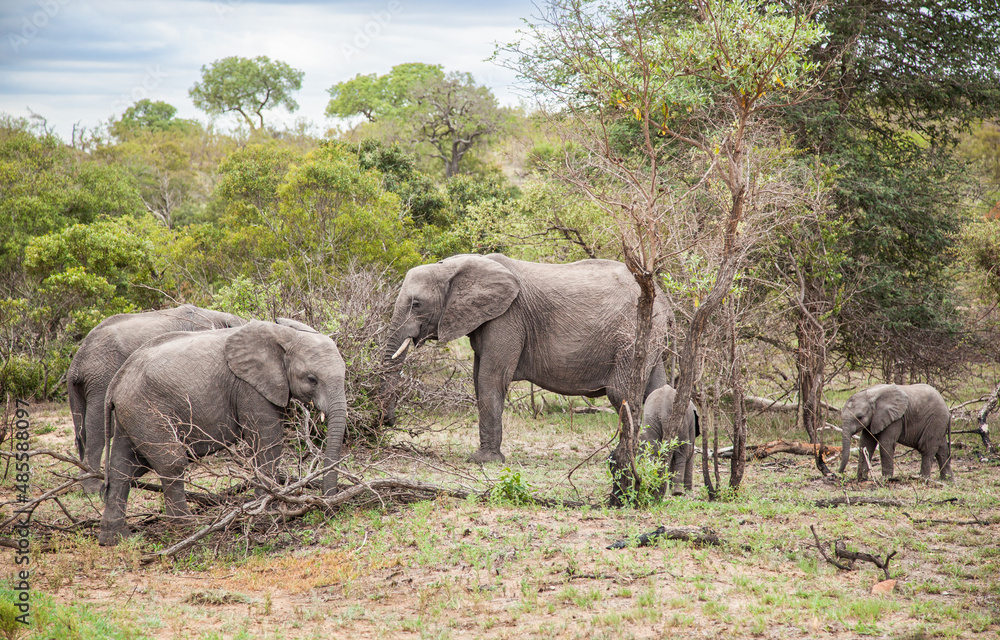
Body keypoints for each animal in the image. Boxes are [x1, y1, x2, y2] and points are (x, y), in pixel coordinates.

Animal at [68, 305, 247, 493]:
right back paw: (93, 488)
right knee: (98, 428)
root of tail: (77, 361)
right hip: (101, 376)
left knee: (81, 430)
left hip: (79, 388)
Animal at [98, 320, 347, 546]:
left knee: (123, 469)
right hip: (147, 410)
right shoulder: (249, 388)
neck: (283, 334)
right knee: (172, 462)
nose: (328, 507)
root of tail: (115, 383)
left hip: (133, 414)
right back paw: (188, 529)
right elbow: (267, 442)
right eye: (312, 379)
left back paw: (116, 539)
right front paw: (270, 509)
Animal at [383, 253, 672, 463]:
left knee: (620, 392)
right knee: (656, 389)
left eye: (416, 304)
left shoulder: (507, 317)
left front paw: (483, 461)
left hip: (632, 335)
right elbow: (478, 379)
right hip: (650, 337)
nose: (389, 421)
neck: (452, 267)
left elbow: (491, 379)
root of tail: (662, 298)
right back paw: (650, 458)